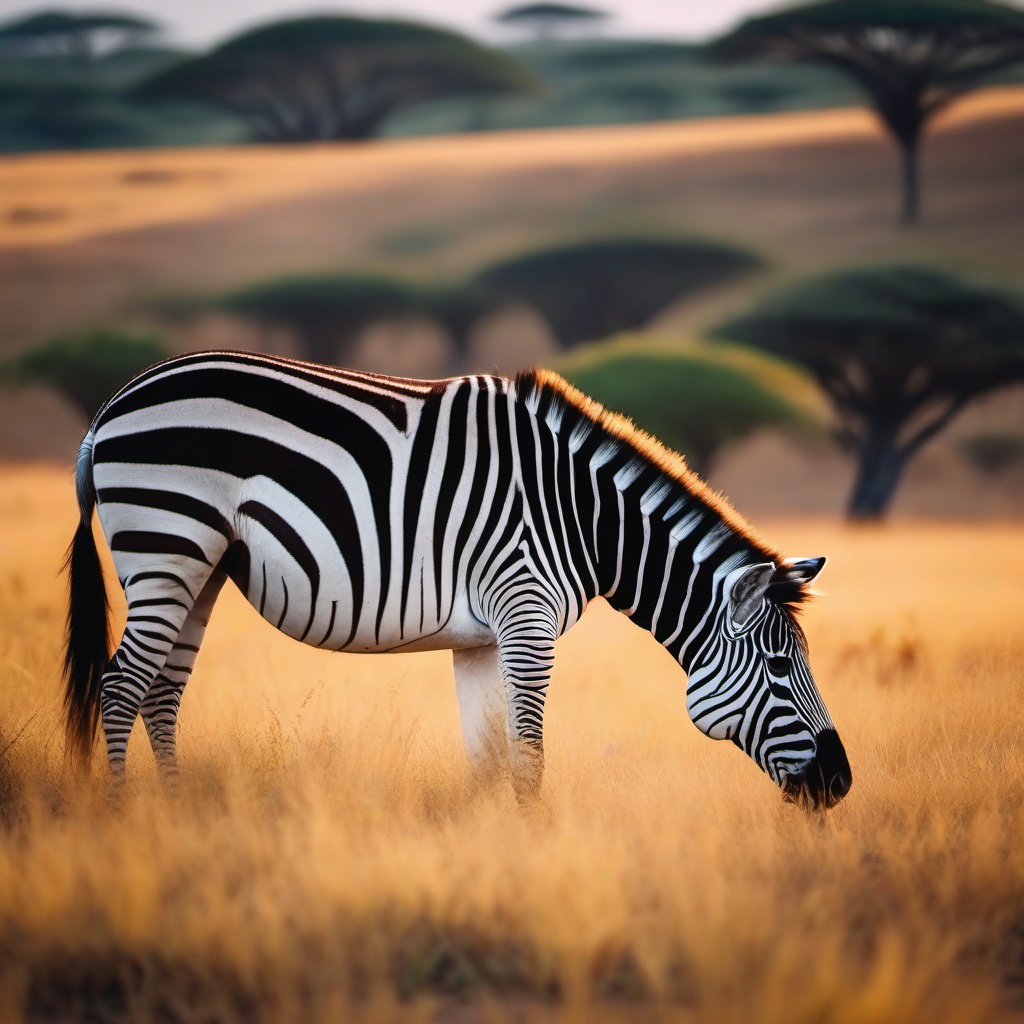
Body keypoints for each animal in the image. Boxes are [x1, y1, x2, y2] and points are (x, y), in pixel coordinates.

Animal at [59, 352, 851, 806]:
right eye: (780, 670)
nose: (840, 783)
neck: (582, 515)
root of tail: (112, 404)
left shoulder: (483, 638)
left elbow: (487, 759)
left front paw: (484, 856)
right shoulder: (527, 616)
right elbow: (528, 759)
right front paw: (532, 853)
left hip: (202, 566)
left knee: (162, 694)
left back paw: (174, 813)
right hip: (167, 543)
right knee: (122, 686)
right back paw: (128, 819)